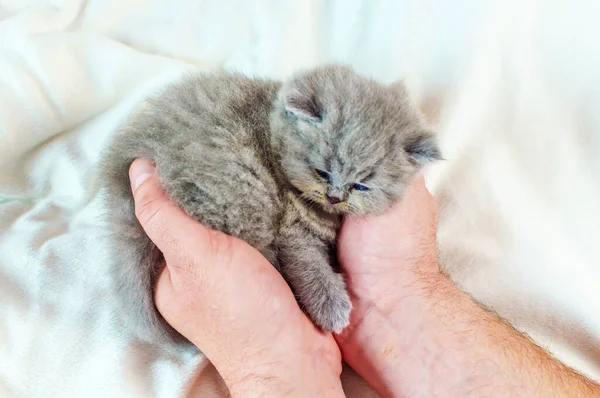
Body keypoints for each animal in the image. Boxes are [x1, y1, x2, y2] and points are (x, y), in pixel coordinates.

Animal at [99, 64, 440, 348]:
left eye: (361, 186)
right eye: (322, 172)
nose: (335, 196)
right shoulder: (293, 228)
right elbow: (308, 265)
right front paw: (331, 308)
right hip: (238, 192)